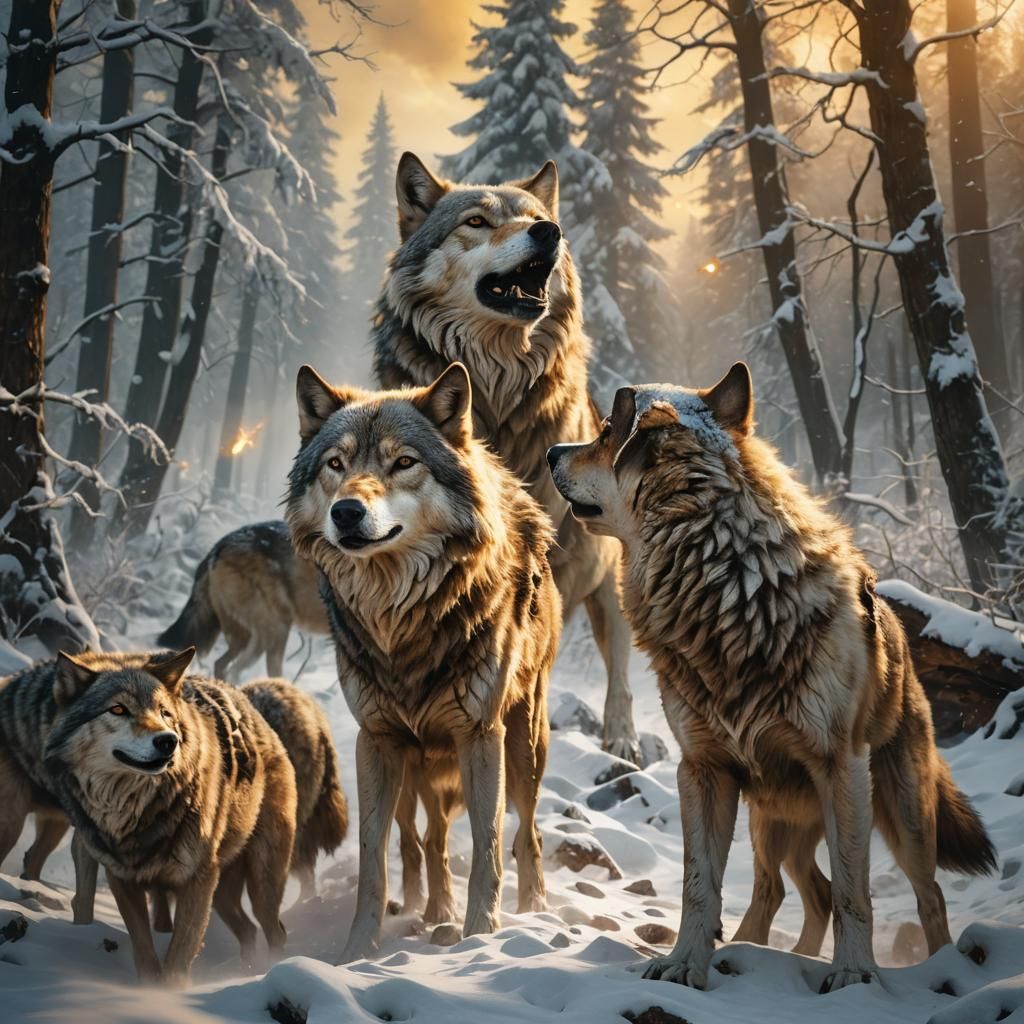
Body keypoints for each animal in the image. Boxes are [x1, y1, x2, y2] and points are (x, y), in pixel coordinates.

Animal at [35, 648, 297, 984]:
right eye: (118, 709)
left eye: (164, 712)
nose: (168, 740)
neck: (135, 810)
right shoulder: (122, 878)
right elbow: (144, 949)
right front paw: (149, 991)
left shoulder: (196, 881)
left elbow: (179, 955)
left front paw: (171, 992)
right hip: (222, 893)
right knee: (249, 929)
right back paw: (246, 970)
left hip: (261, 884)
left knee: (275, 931)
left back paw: (266, 971)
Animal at [286, 361, 561, 959]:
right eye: (336, 464)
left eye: (403, 462)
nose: (347, 511)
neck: (401, 620)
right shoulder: (377, 740)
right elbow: (374, 856)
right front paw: (356, 951)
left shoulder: (480, 736)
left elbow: (488, 844)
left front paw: (480, 935)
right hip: (418, 770)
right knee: (424, 840)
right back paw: (431, 908)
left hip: (523, 744)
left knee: (527, 830)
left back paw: (533, 907)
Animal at [372, 153, 641, 764]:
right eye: (477, 221)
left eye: (536, 216)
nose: (550, 231)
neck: (491, 381)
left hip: (606, 583)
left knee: (618, 664)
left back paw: (620, 737)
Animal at [547, 362, 996, 992]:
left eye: (606, 432)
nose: (550, 452)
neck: (726, 585)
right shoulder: (703, 771)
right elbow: (698, 888)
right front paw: (684, 965)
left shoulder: (840, 767)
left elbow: (855, 892)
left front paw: (853, 975)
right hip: (770, 822)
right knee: (784, 890)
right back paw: (756, 953)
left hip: (900, 817)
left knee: (922, 894)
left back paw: (937, 965)